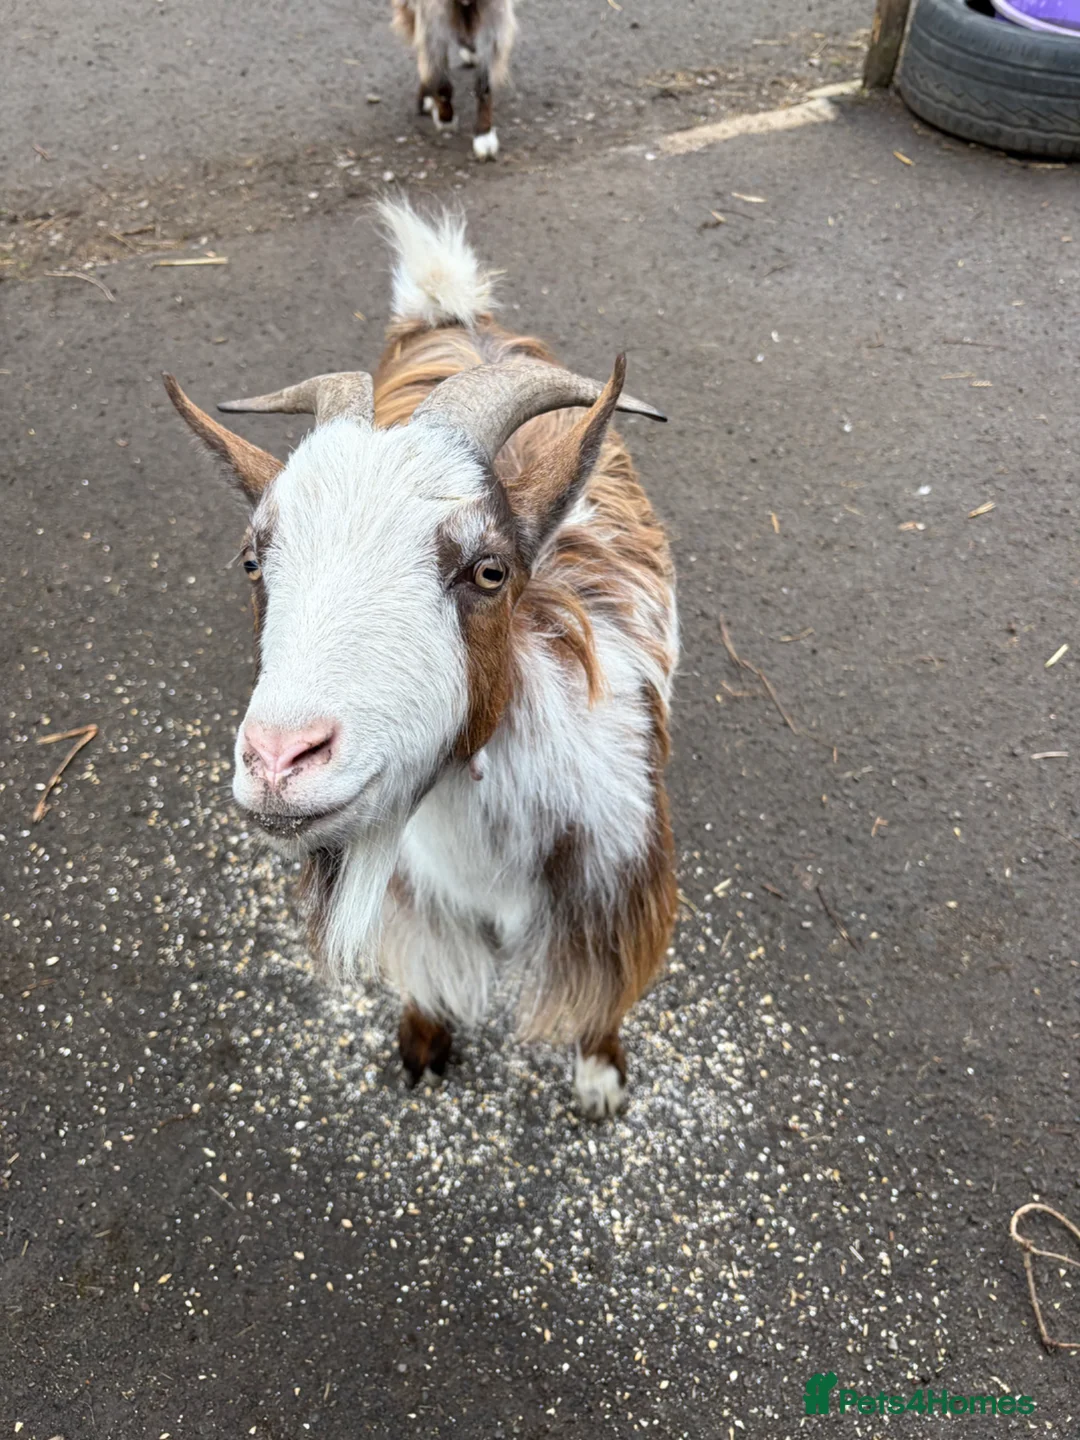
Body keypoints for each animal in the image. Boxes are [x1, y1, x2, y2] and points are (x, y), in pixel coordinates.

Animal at [163, 200, 678, 1118]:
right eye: (255, 561)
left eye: (489, 570)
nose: (279, 760)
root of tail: (452, 315)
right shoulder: (421, 902)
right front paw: (422, 1042)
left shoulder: (621, 891)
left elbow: (609, 994)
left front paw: (601, 1075)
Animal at [390, 0, 515, 159]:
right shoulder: (433, 18)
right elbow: (441, 81)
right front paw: (446, 118)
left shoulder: (493, 16)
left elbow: (484, 84)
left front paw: (484, 133)